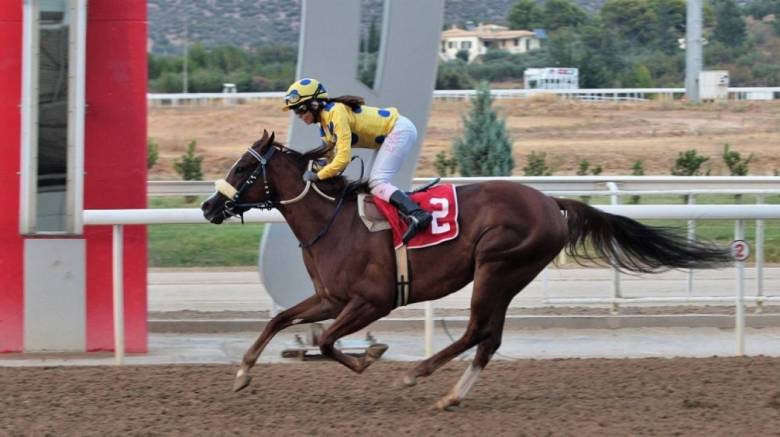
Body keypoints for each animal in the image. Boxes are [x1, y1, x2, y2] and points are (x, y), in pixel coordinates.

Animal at [200, 131, 732, 410]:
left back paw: (418, 375)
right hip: (508, 276)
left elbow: (330, 341)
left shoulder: (373, 300)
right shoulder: (332, 296)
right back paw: (451, 395)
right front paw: (243, 374)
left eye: (243, 167)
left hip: (497, 265)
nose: (207, 207)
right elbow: (280, 319)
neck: (334, 222)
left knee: (478, 330)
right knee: (490, 338)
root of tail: (551, 202)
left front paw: (370, 356)